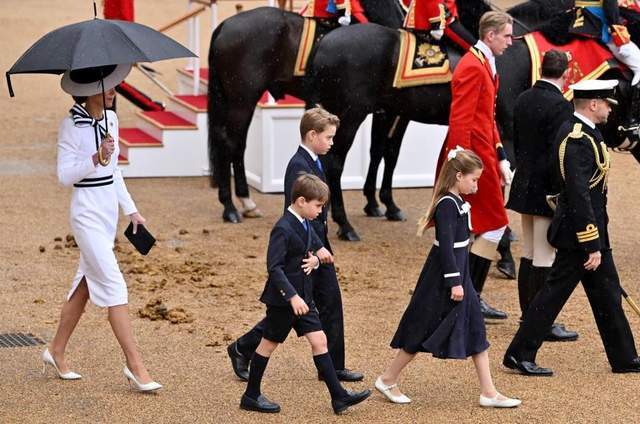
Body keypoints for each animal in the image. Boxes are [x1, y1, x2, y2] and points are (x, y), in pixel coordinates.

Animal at [208, 0, 402, 222]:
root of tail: (225, 25)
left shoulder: (383, 111)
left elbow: (378, 151)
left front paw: (373, 203)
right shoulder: (393, 111)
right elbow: (389, 152)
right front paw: (387, 204)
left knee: (237, 144)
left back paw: (246, 202)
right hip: (242, 100)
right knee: (229, 143)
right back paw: (230, 207)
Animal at [308, 0, 640, 238]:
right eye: (633, 96)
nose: (633, 134)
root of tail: (326, 42)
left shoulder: (394, 113)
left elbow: (386, 152)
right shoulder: (508, 130)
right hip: (349, 114)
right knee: (333, 162)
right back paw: (344, 225)